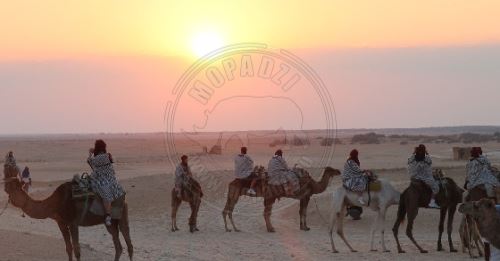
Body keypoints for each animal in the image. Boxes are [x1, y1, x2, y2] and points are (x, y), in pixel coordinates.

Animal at [3, 162, 133, 260]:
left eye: (13, 187)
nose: (5, 187)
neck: (55, 203)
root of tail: (123, 196)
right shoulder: (61, 223)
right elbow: (68, 248)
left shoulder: (73, 223)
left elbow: (77, 250)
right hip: (110, 223)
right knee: (118, 246)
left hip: (122, 215)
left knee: (129, 244)